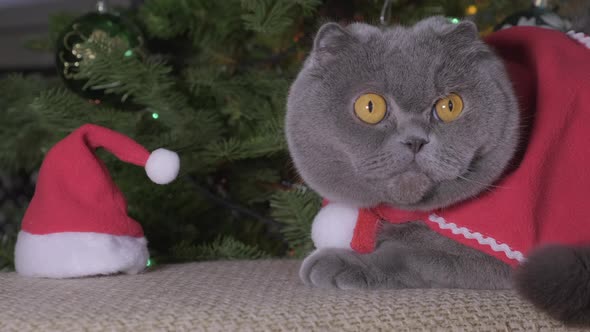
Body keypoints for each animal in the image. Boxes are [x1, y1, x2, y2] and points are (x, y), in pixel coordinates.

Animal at [290, 16, 590, 326]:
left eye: (449, 105)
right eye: (369, 106)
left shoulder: (502, 256)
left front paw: (337, 262)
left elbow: (411, 256)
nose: (415, 140)